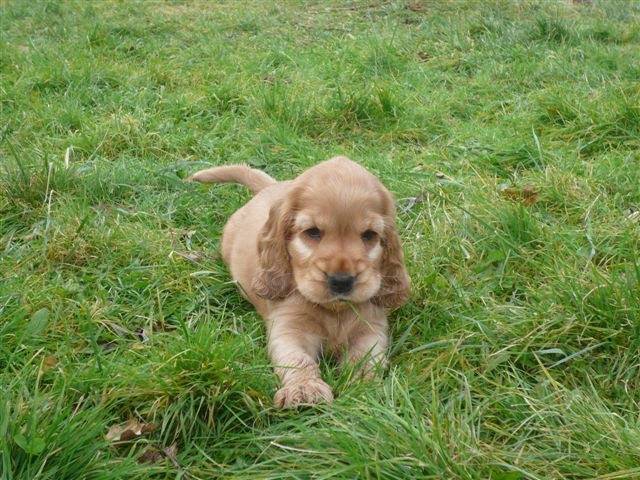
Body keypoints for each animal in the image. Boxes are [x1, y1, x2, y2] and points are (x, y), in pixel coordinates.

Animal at [189, 156, 410, 407]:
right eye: (312, 232)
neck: (334, 311)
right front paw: (305, 389)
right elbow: (297, 359)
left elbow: (366, 359)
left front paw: (363, 386)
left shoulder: (372, 328)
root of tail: (270, 187)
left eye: (369, 235)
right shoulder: (289, 328)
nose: (341, 281)